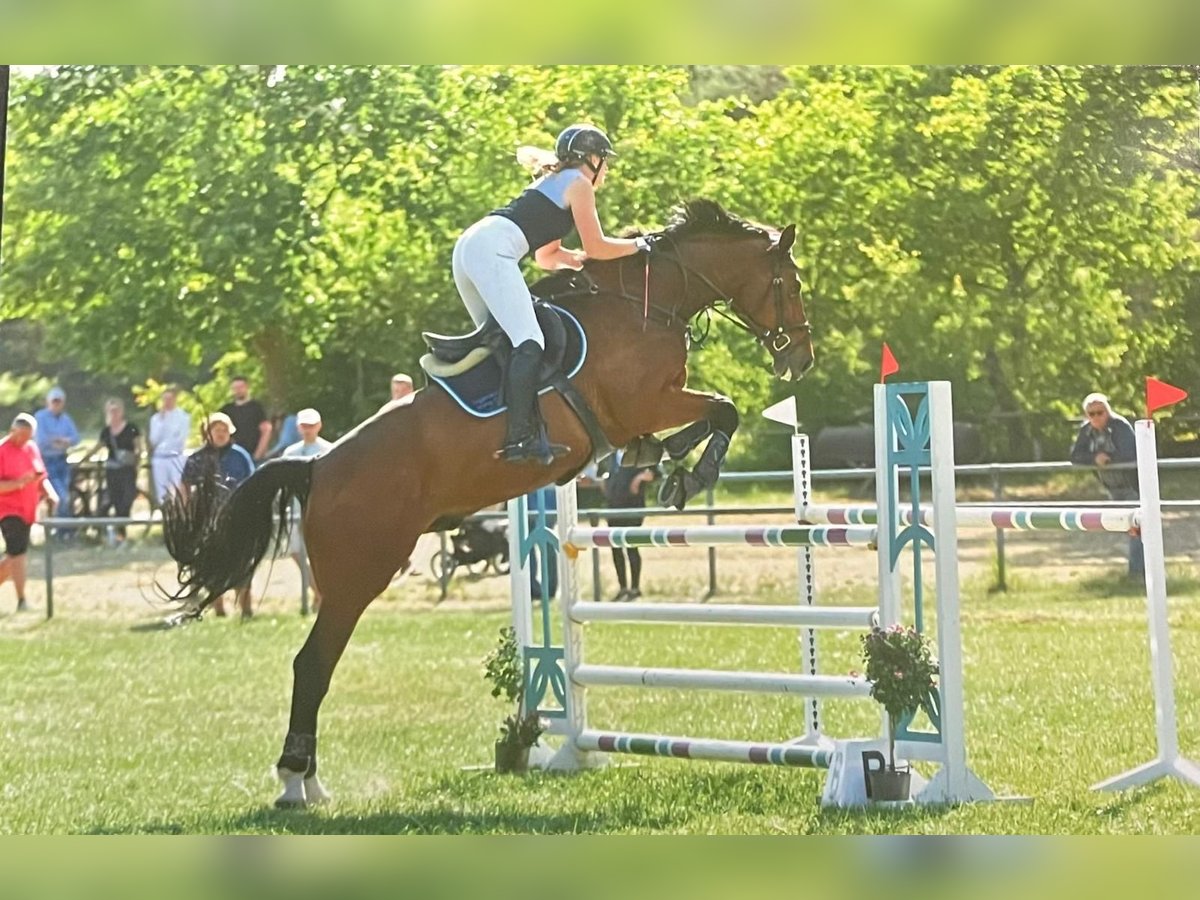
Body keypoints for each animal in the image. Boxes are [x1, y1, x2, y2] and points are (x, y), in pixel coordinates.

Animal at [162, 199, 816, 811]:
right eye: (791, 283)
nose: (800, 360)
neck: (647, 304)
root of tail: (318, 467)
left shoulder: (645, 411)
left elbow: (700, 420)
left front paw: (664, 459)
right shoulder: (647, 401)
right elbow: (723, 409)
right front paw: (688, 471)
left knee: (316, 664)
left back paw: (310, 781)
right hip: (360, 576)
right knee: (312, 665)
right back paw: (297, 782)